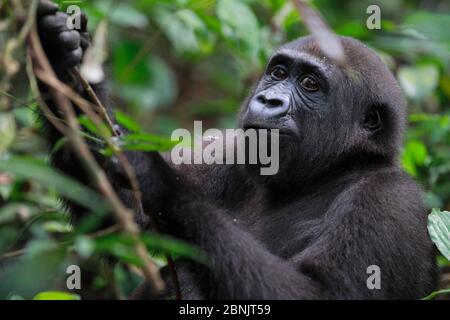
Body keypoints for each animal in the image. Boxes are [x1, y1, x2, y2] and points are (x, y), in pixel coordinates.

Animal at [35, 0, 436, 300]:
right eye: (278, 73)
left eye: (310, 83)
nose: (269, 100)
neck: (333, 170)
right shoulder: (229, 150)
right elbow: (120, 215)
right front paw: (58, 55)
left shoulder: (389, 200)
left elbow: (320, 293)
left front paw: (158, 178)